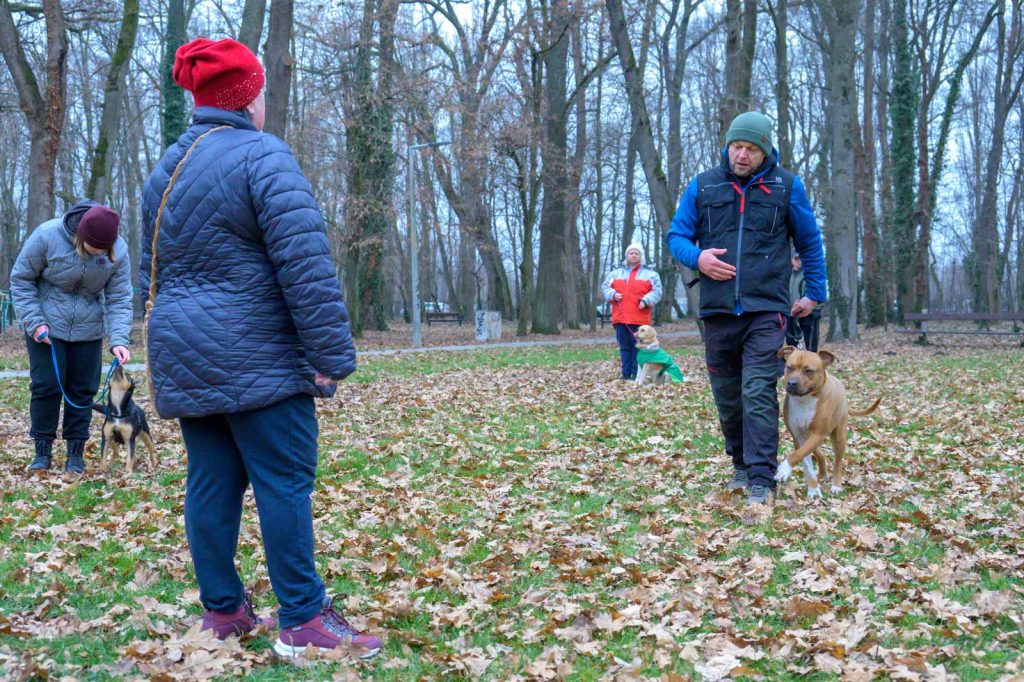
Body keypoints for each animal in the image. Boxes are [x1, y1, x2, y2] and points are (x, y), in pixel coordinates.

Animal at [774, 348, 880, 497]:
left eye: (809, 371)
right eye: (789, 367)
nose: (791, 383)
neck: (805, 400)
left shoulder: (818, 434)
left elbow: (797, 454)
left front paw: (784, 469)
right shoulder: (798, 437)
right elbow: (805, 462)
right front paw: (813, 489)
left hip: (839, 437)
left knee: (838, 461)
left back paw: (836, 485)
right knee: (819, 453)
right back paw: (823, 473)